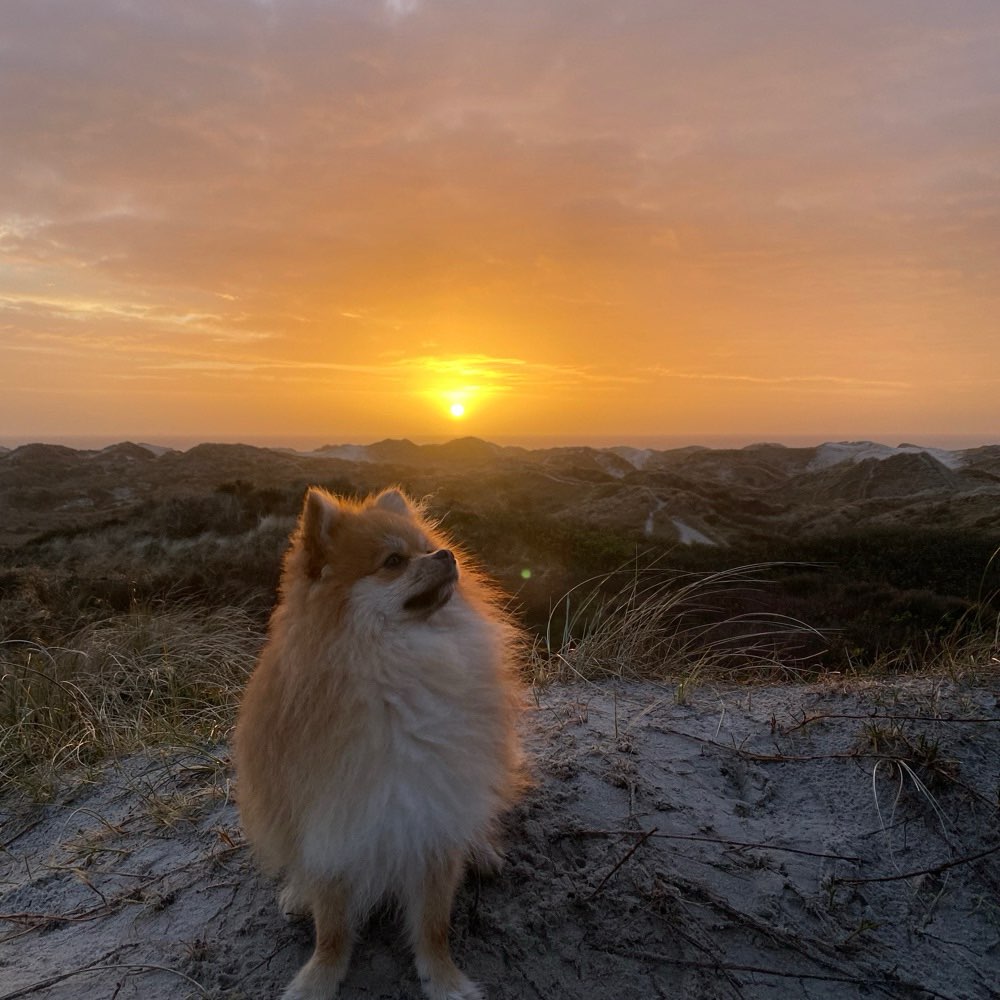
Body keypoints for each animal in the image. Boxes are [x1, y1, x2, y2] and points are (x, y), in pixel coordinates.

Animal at [232, 488, 524, 996]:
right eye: (393, 561)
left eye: (427, 547)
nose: (445, 555)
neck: (398, 668)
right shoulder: (331, 823)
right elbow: (331, 927)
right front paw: (318, 978)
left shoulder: (433, 812)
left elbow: (433, 923)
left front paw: (444, 979)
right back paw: (297, 891)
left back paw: (482, 849)